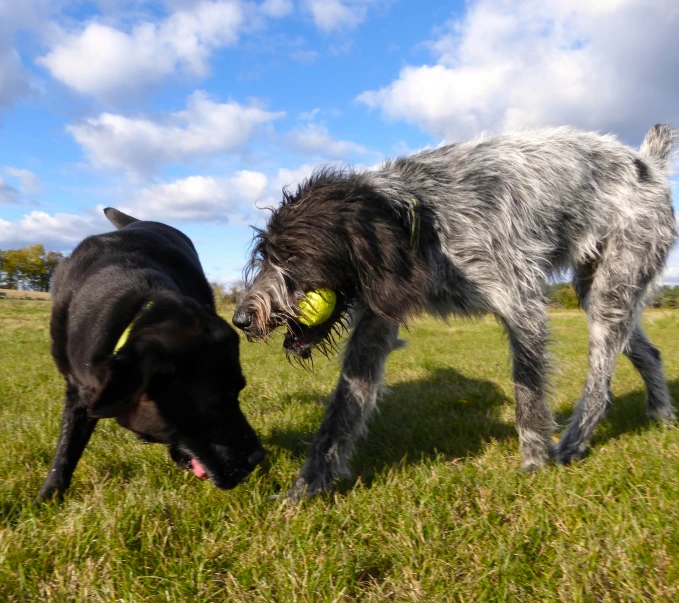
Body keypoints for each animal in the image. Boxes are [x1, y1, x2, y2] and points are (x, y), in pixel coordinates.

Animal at [37, 210, 266, 502]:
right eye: (212, 407)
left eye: (238, 393)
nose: (258, 457)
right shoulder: (79, 390)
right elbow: (66, 449)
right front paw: (48, 496)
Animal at [231, 124, 676, 500]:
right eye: (265, 256)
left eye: (294, 256)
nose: (241, 320)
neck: (420, 215)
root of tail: (649, 162)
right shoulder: (373, 327)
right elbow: (340, 413)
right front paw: (304, 491)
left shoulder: (522, 306)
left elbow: (527, 397)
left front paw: (534, 464)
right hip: (597, 289)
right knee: (647, 352)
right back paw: (662, 414)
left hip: (612, 290)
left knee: (600, 384)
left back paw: (574, 443)